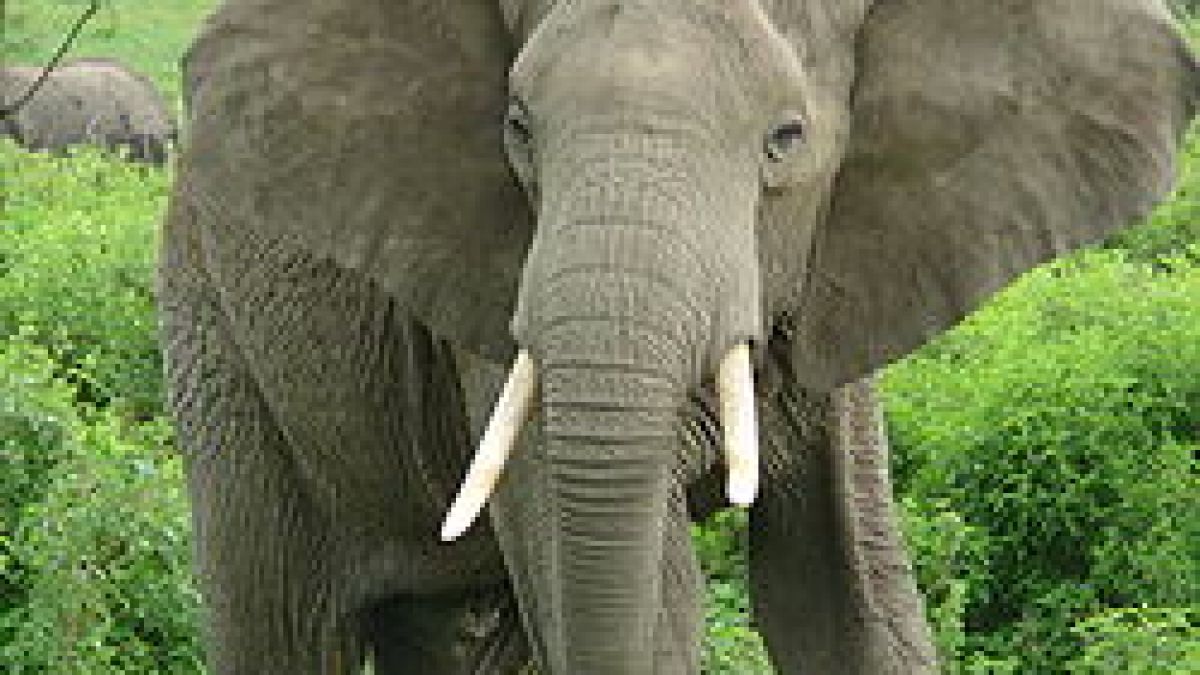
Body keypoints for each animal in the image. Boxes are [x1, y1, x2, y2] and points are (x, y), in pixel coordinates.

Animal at [158, 0, 1197, 673]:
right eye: (517, 127)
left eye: (786, 139)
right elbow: (654, 601)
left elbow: (851, 600)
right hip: (216, 332)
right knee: (279, 621)